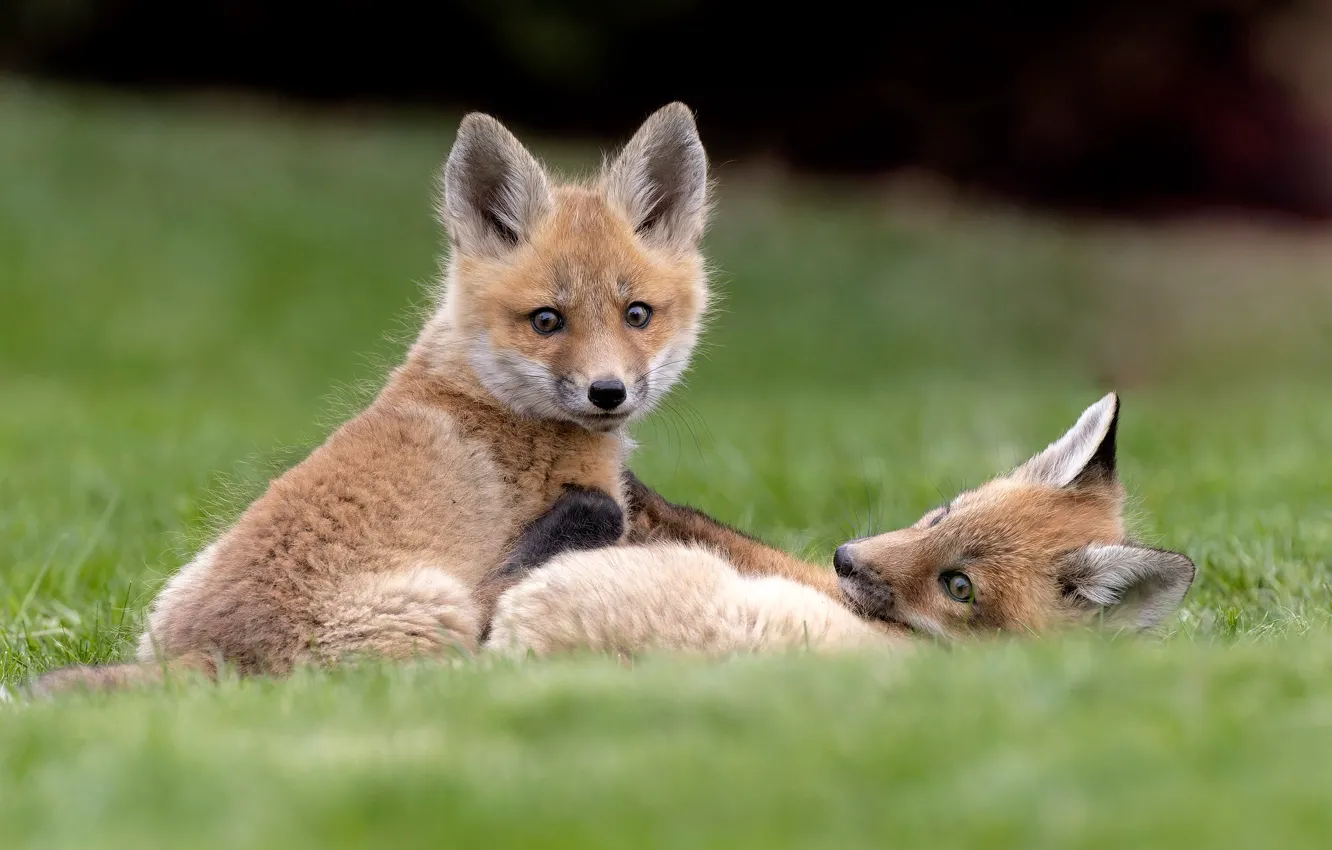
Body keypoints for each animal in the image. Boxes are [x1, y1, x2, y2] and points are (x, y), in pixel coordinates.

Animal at [28, 103, 712, 696]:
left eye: (637, 314)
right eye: (547, 321)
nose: (607, 392)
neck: (492, 394)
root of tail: (217, 653)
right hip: (438, 612)